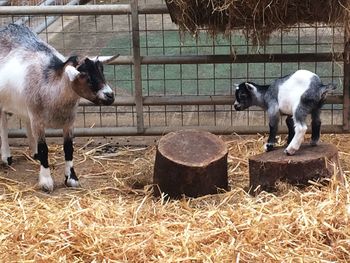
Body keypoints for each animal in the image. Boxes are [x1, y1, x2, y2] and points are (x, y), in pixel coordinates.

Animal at [0, 23, 116, 193]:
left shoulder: (69, 121)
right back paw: (6, 156)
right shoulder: (38, 121)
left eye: (101, 71)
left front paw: (72, 178)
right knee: (3, 123)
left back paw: (33, 152)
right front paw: (46, 181)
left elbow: (68, 148)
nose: (110, 96)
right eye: (85, 76)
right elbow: (44, 149)